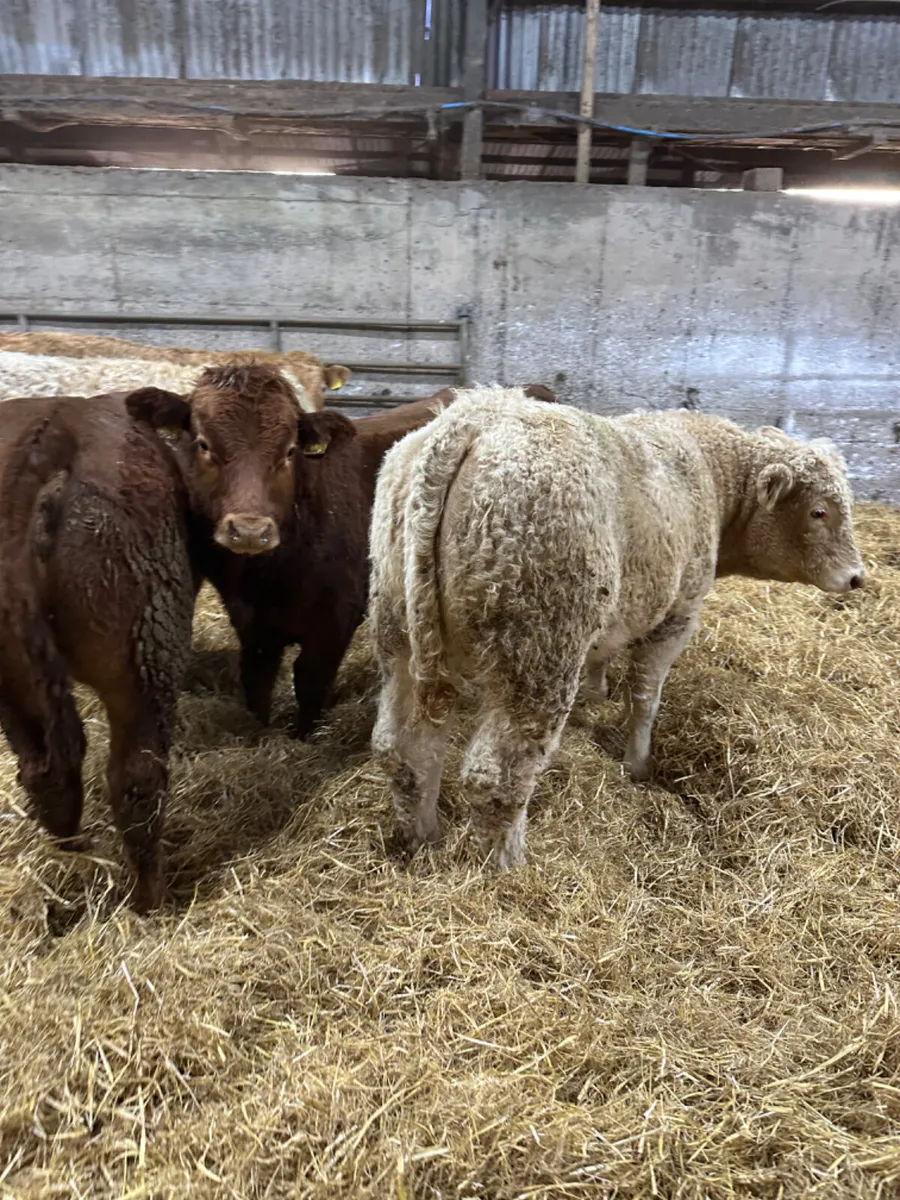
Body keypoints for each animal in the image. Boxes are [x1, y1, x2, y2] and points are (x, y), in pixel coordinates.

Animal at [0, 393, 195, 911]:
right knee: (135, 779)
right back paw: (149, 901)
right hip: (143, 654)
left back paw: (73, 854)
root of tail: (52, 432)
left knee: (53, 773)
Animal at [125, 370, 557, 737]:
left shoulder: (334, 619)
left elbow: (310, 681)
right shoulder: (251, 622)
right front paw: (259, 732)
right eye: (203, 444)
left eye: (289, 451)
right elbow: (256, 679)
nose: (250, 530)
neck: (269, 575)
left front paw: (302, 737)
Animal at [369, 387, 865, 869]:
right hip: (537, 653)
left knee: (404, 749)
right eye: (819, 512)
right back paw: (508, 868)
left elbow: (604, 658)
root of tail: (475, 418)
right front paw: (638, 763)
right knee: (497, 775)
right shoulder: (677, 615)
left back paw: (422, 838)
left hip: (400, 639)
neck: (711, 472)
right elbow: (645, 697)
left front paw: (595, 696)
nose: (857, 577)